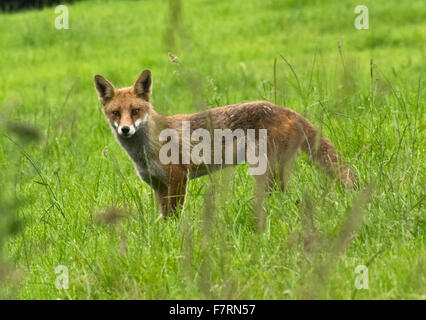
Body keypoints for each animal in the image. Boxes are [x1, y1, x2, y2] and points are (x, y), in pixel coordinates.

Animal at [95, 69, 358, 218]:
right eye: (116, 113)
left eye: (135, 111)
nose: (125, 129)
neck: (146, 150)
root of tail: (285, 109)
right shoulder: (158, 186)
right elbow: (164, 217)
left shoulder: (178, 179)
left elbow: (175, 216)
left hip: (266, 171)